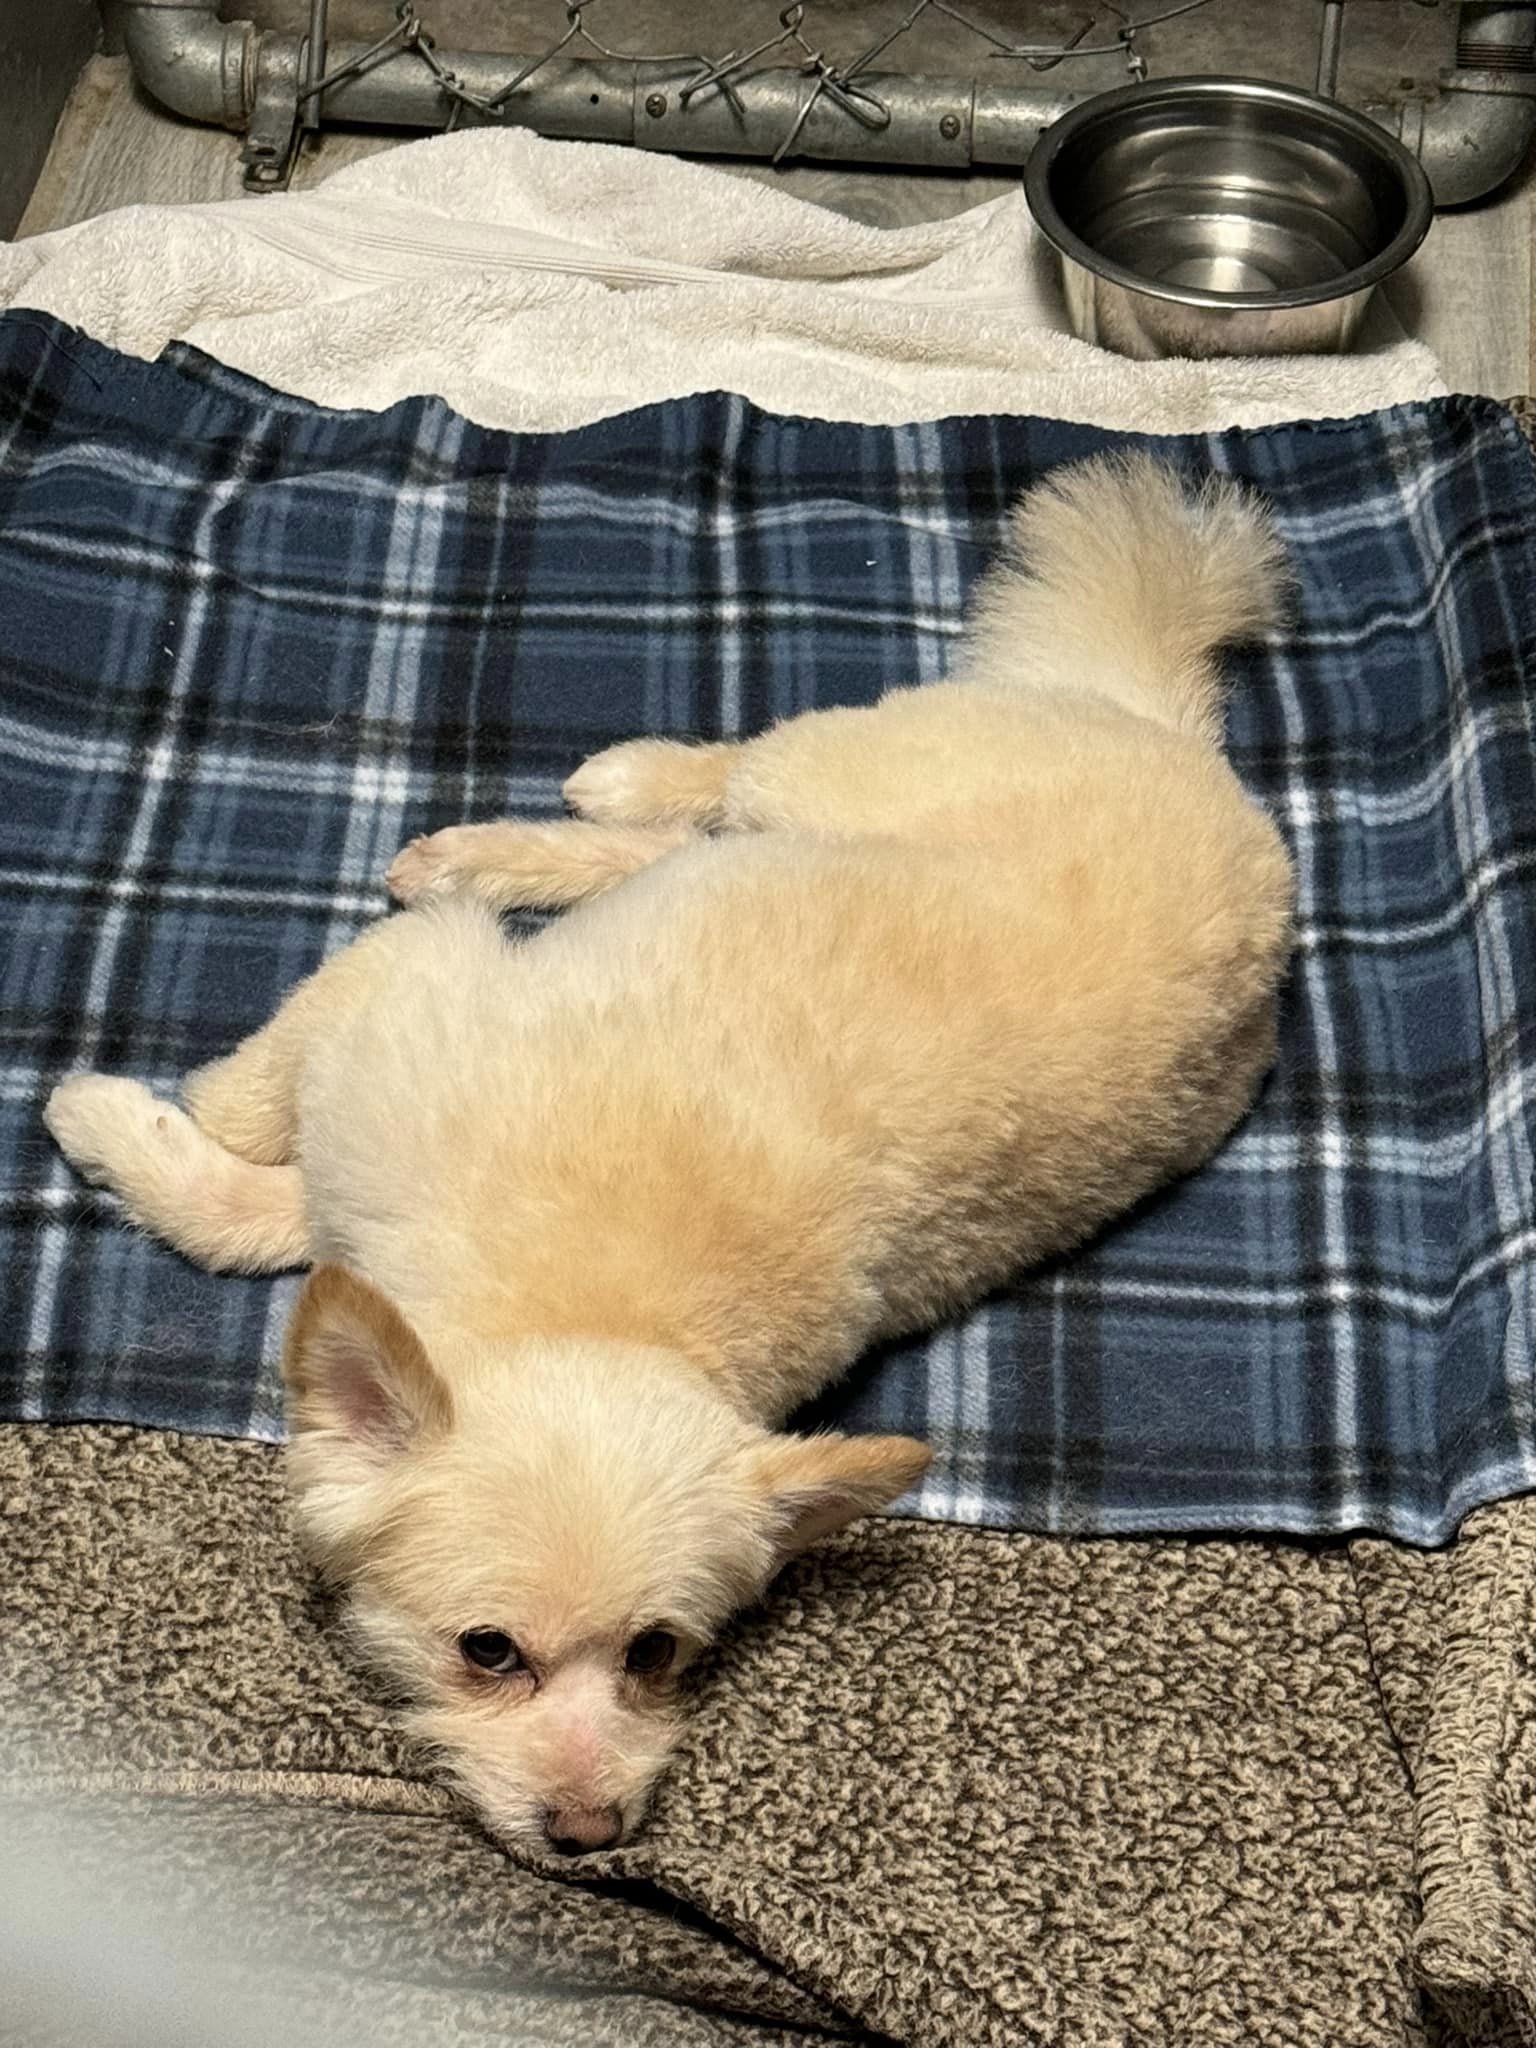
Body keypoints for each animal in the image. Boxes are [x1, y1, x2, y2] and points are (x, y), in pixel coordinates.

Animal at [45, 456, 1302, 1867]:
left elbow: (247, 1205)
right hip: (832, 778)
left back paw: (519, 836)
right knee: (717, 793)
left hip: (833, 790)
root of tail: (1184, 737)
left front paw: (118, 1123)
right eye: (489, 1650)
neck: (592, 1309)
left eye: (658, 1651)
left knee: (694, 826)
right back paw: (588, 799)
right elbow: (257, 1122)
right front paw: (158, 1112)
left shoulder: (394, 1040)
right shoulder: (388, 1012)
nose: (589, 1832)